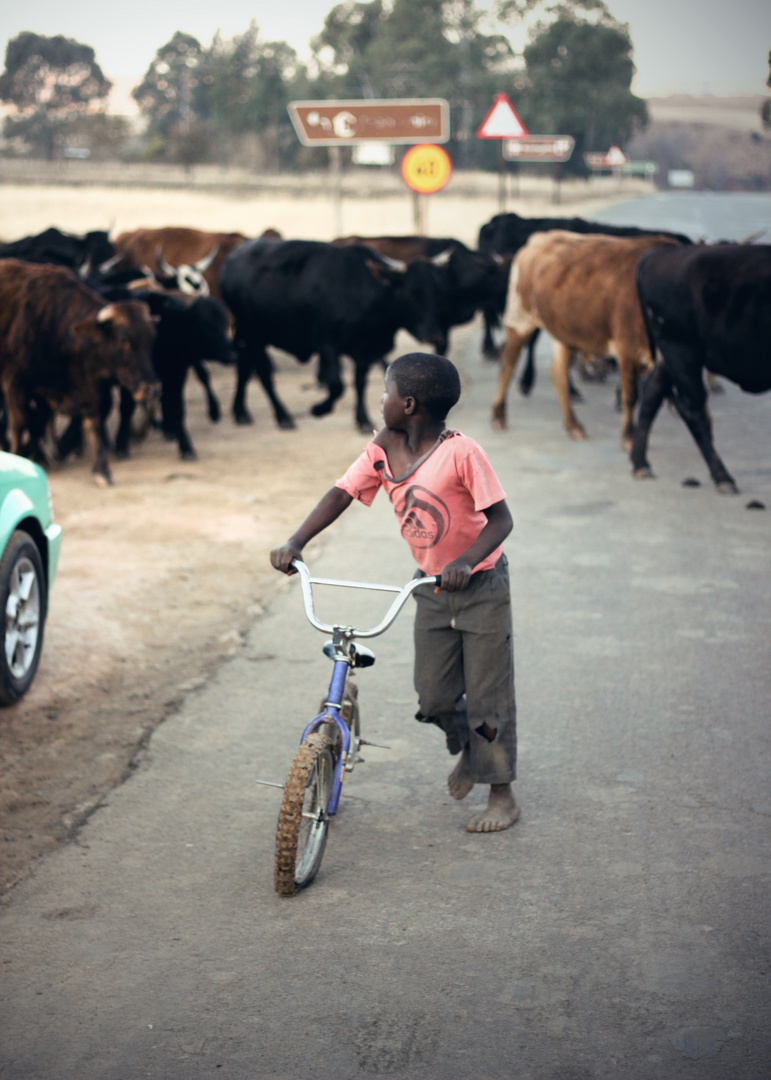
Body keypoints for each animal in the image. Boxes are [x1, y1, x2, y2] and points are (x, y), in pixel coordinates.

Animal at [0, 259, 158, 483]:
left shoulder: (84, 385)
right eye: (124, 342)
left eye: (151, 340)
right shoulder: (14, 381)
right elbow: (20, 421)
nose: (152, 389)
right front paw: (18, 457)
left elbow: (93, 420)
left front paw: (101, 470)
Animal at [218, 238, 444, 432]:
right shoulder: (327, 344)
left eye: (437, 291)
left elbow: (359, 383)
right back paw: (283, 416)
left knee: (243, 366)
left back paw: (241, 412)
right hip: (254, 333)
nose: (434, 335)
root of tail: (232, 258)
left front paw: (362, 419)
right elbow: (337, 385)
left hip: (247, 334)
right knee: (263, 373)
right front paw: (319, 409)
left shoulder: (366, 350)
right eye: (412, 293)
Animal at [492, 230, 678, 449]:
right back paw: (498, 415)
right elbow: (631, 395)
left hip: (563, 333)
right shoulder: (627, 348)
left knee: (558, 374)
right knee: (508, 363)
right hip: (520, 318)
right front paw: (629, 436)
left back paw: (573, 425)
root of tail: (539, 239)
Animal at [630, 243, 768, 492]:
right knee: (692, 407)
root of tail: (659, 253)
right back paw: (723, 477)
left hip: (669, 354)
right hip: (680, 350)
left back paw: (640, 463)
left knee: (652, 392)